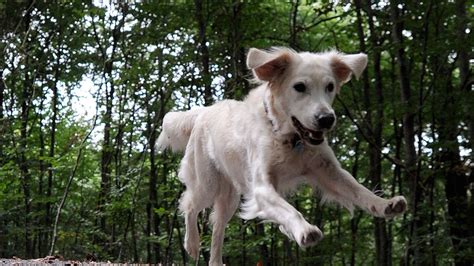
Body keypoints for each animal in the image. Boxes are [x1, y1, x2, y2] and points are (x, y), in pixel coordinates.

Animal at [156, 46, 408, 264]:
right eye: (300, 87)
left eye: (330, 86)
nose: (327, 119)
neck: (291, 139)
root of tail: (204, 110)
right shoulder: (262, 187)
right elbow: (290, 210)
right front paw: (304, 230)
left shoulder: (329, 171)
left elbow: (359, 190)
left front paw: (384, 204)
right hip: (208, 184)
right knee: (189, 204)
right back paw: (191, 243)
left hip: (229, 198)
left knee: (217, 230)